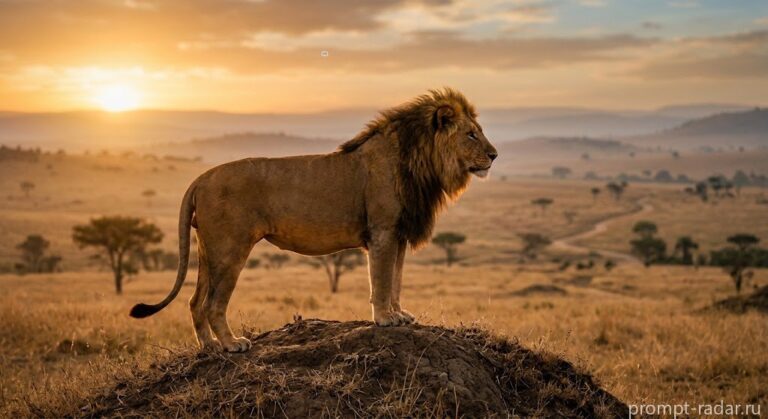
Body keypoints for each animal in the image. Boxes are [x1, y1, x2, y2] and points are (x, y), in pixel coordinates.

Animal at [130, 88, 498, 352]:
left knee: (194, 301)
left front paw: (400, 314)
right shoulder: (382, 232)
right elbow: (380, 281)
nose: (494, 155)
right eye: (470, 135)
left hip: (208, 250)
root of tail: (201, 178)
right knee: (212, 303)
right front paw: (385, 319)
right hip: (230, 249)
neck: (421, 163)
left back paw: (209, 348)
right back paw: (232, 345)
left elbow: (396, 279)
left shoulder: (399, 235)